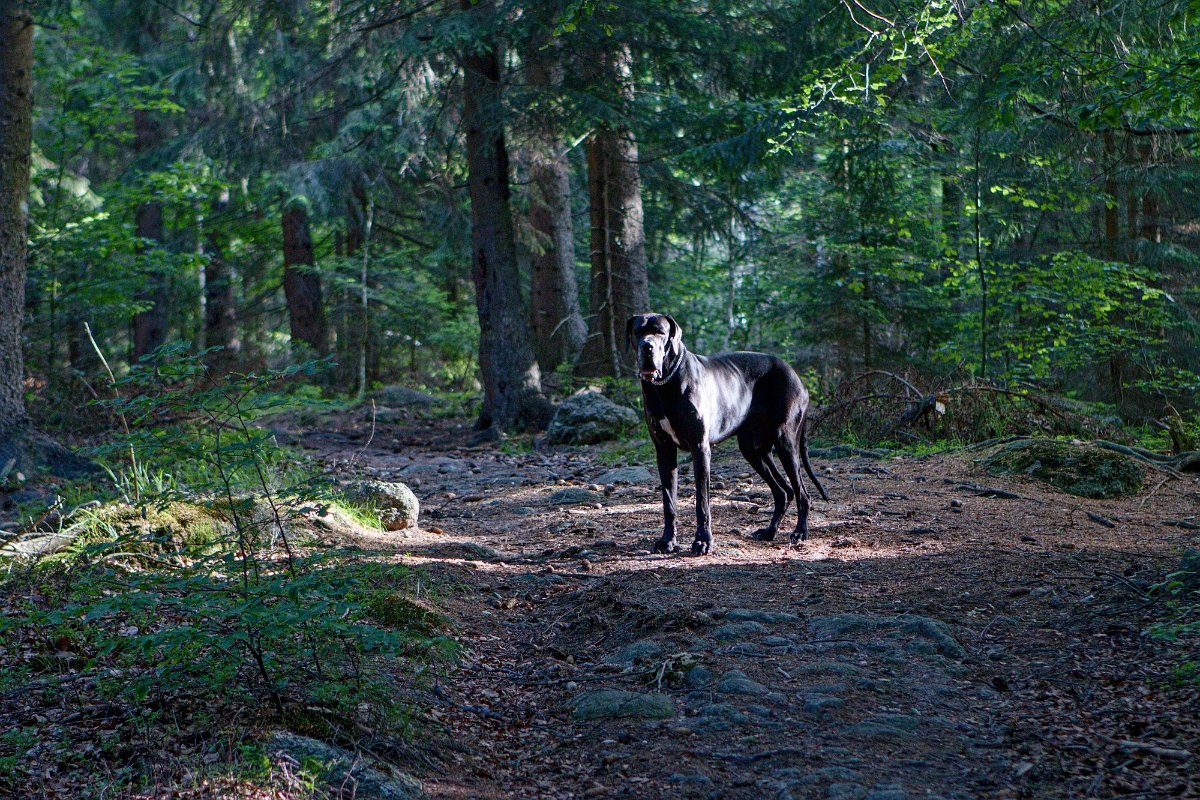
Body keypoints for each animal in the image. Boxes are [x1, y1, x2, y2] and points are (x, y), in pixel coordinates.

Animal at [628, 311, 825, 556]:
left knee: (802, 494)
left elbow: (702, 502)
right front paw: (667, 541)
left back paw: (800, 532)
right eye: (638, 332)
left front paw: (703, 541)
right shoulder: (664, 450)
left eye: (660, 333)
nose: (647, 346)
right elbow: (668, 501)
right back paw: (769, 531)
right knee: (784, 492)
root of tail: (796, 377)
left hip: (785, 443)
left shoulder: (700, 449)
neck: (665, 384)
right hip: (754, 450)